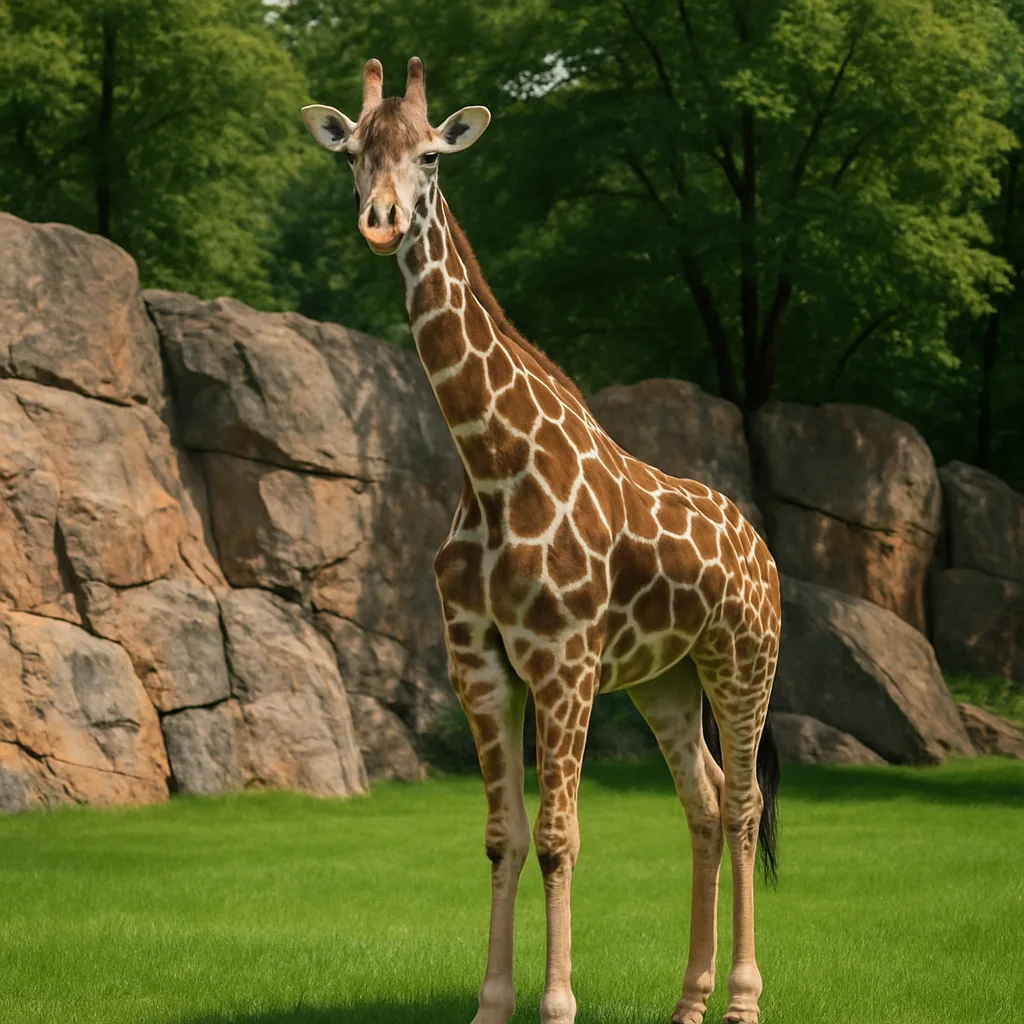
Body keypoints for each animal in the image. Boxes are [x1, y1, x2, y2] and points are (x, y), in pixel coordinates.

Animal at [301, 57, 782, 1024]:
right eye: (354, 153)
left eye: (433, 156)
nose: (381, 221)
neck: (490, 467)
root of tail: (767, 552)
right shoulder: (480, 662)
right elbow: (503, 836)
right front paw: (493, 1004)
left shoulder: (564, 661)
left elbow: (560, 836)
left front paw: (557, 1003)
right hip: (668, 680)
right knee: (705, 802)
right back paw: (690, 1000)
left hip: (744, 661)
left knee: (746, 802)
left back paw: (743, 999)